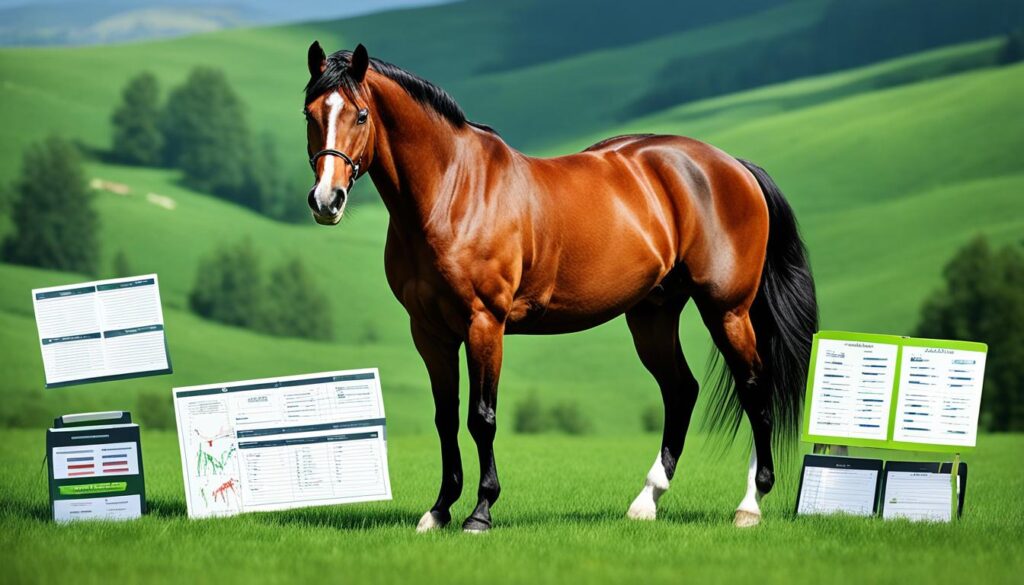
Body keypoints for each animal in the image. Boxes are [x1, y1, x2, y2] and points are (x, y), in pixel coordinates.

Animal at [301, 42, 818, 532]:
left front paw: (480, 512)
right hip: (653, 314)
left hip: (727, 310)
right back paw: (646, 501)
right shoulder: (430, 332)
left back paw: (750, 504)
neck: (453, 190)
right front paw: (439, 510)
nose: (327, 200)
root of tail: (733, 166)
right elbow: (445, 418)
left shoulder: (485, 323)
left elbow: (481, 418)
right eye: (310, 113)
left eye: (361, 115)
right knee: (681, 391)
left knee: (754, 388)